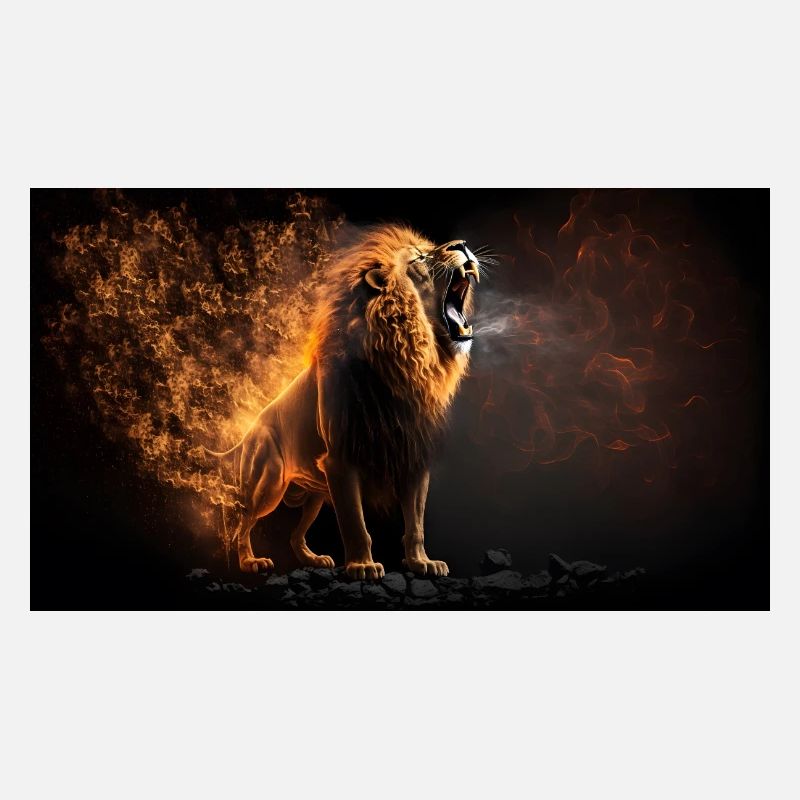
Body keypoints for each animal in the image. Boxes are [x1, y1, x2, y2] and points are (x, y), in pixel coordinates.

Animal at [207, 225, 481, 579]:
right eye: (420, 259)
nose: (462, 244)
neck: (404, 361)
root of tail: (250, 428)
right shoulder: (341, 460)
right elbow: (354, 524)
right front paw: (363, 566)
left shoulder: (414, 457)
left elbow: (416, 524)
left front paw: (422, 562)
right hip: (267, 482)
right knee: (242, 522)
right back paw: (250, 562)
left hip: (314, 494)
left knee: (295, 535)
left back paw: (313, 559)